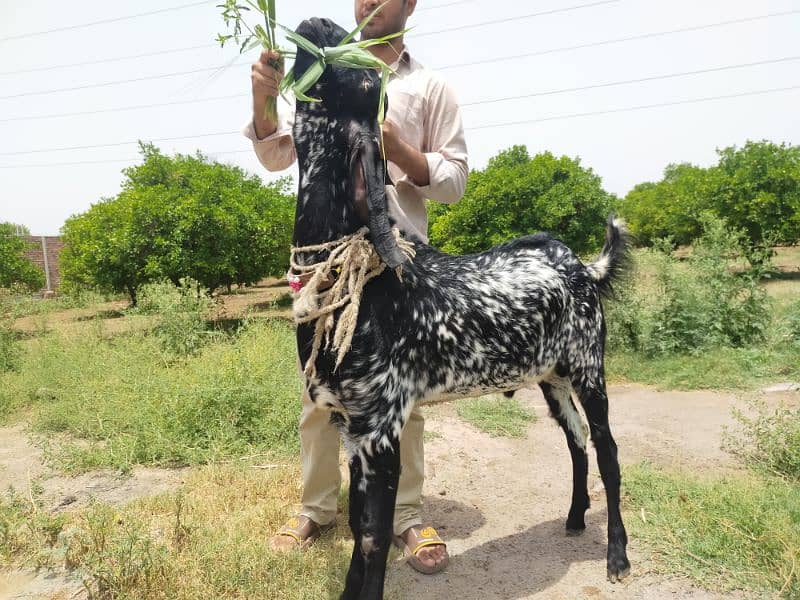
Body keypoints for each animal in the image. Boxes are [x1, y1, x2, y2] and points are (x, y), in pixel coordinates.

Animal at [288, 16, 632, 596]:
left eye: (367, 79)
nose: (321, 22)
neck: (361, 282)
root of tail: (582, 267)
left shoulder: (381, 426)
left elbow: (373, 537)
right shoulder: (350, 425)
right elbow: (358, 529)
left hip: (590, 367)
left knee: (606, 449)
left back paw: (617, 555)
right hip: (552, 376)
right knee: (577, 441)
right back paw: (573, 517)